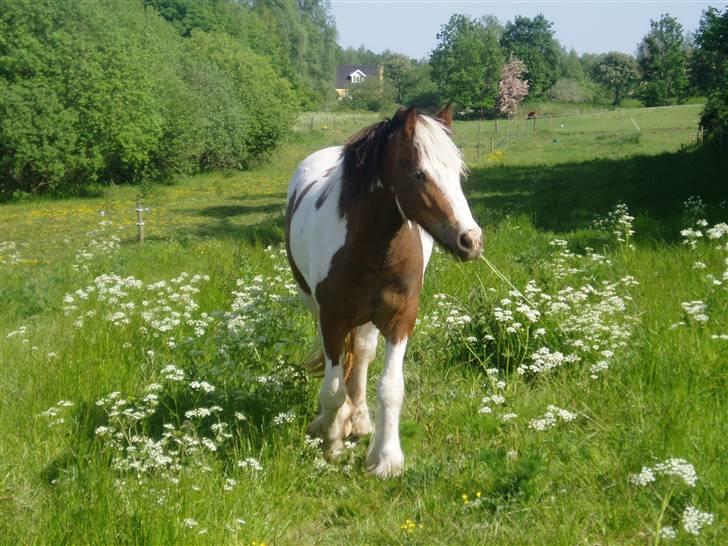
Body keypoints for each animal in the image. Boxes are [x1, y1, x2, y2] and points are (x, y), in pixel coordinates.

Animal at [284, 104, 484, 474]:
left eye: (458, 172)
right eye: (419, 174)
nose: (471, 240)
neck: (373, 246)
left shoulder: (401, 318)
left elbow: (391, 387)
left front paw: (386, 458)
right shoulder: (332, 319)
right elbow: (333, 388)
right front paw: (332, 442)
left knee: (362, 355)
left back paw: (360, 419)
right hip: (317, 306)